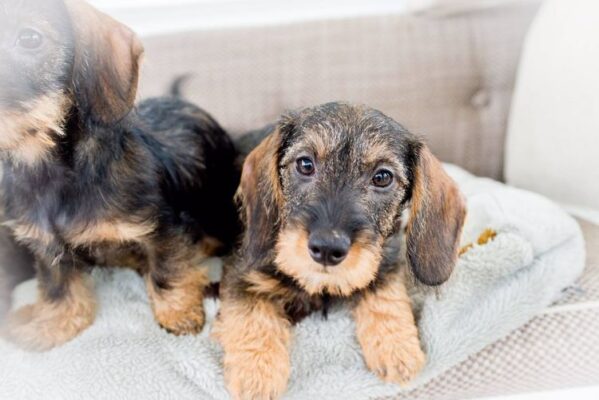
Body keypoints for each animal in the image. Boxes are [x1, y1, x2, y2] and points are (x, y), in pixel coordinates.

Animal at [0, 0, 239, 350]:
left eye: (30, 38)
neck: (52, 171)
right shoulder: (47, 246)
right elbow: (59, 287)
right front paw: (54, 323)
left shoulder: (160, 228)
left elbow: (166, 272)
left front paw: (178, 314)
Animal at [212, 102, 468, 396]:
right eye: (305, 164)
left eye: (383, 177)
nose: (326, 248)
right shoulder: (240, 271)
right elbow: (252, 314)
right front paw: (256, 372)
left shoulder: (386, 258)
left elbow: (385, 293)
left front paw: (396, 347)